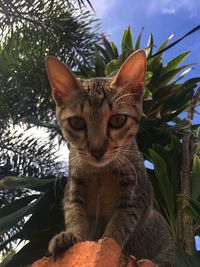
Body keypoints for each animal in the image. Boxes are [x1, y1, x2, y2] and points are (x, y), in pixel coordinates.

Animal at [45, 50, 175, 267]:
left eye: (118, 120)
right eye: (77, 122)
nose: (97, 150)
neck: (100, 172)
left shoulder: (134, 197)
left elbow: (117, 230)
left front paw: (106, 246)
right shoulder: (74, 189)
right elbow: (75, 216)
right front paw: (70, 237)